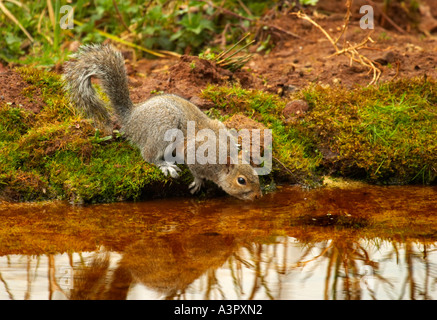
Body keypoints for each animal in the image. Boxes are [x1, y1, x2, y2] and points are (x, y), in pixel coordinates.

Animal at [63, 44, 260, 201]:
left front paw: (238, 144)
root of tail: (131, 118)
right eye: (241, 181)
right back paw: (164, 165)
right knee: (148, 155)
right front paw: (198, 182)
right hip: (164, 126)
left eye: (256, 174)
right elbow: (195, 170)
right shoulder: (194, 153)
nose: (259, 195)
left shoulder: (218, 127)